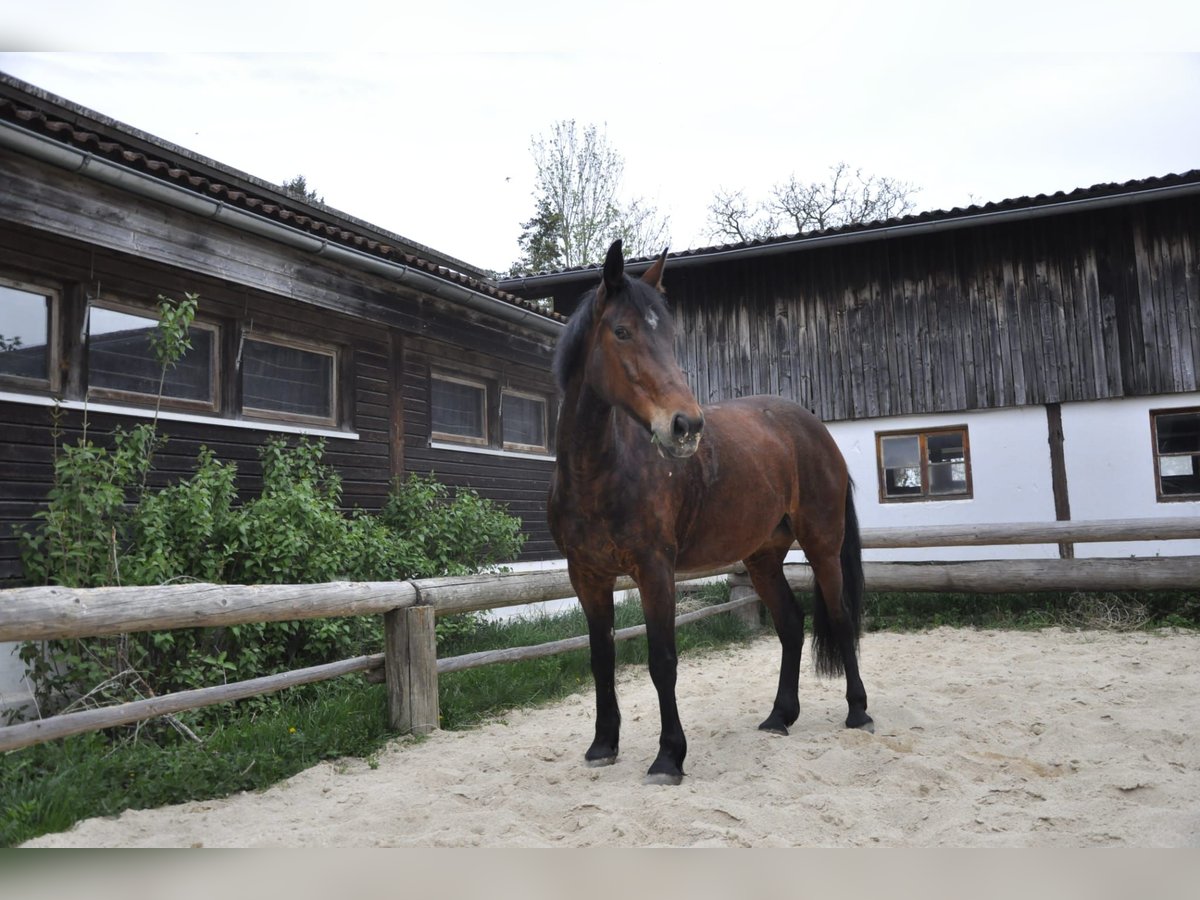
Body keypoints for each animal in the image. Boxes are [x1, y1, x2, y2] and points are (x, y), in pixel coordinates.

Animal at [547, 239, 871, 785]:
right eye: (621, 331)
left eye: (670, 336)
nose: (686, 427)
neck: (600, 472)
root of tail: (816, 430)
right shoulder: (586, 576)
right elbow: (601, 658)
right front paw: (603, 745)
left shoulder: (655, 571)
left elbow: (662, 661)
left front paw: (669, 757)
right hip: (763, 558)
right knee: (790, 623)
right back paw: (779, 717)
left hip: (823, 546)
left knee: (841, 617)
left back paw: (858, 711)